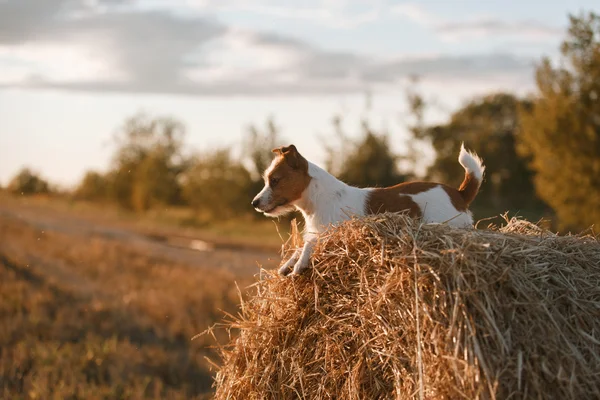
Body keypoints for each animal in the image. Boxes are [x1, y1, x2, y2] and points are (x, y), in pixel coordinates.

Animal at [251, 145, 486, 276]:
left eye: (275, 180)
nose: (254, 202)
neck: (320, 199)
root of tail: (459, 193)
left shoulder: (334, 234)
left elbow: (309, 245)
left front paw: (299, 264)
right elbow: (301, 246)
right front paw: (289, 263)